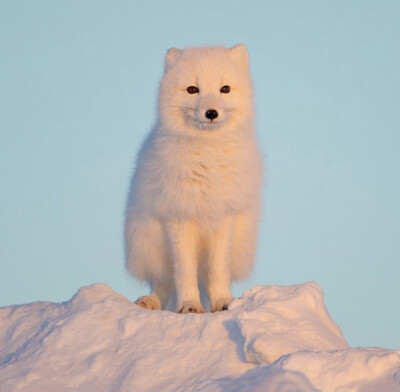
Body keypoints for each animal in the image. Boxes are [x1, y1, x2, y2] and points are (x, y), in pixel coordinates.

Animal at [125, 43, 262, 312]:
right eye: (192, 89)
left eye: (224, 89)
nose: (211, 112)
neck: (208, 160)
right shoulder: (178, 216)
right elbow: (185, 271)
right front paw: (189, 305)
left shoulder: (224, 216)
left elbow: (218, 270)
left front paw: (222, 302)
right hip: (151, 246)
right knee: (163, 282)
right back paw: (151, 301)